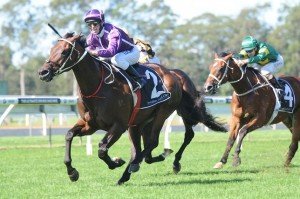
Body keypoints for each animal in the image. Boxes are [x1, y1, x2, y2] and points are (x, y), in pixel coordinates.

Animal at [38, 33, 225, 185]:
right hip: (140, 123)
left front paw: (116, 162)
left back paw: (133, 168)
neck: (98, 87)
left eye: (64, 51)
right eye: (51, 49)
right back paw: (138, 167)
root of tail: (172, 73)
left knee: (153, 142)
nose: (43, 72)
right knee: (143, 149)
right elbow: (69, 135)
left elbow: (102, 149)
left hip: (163, 112)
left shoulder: (119, 125)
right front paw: (72, 172)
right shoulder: (90, 124)